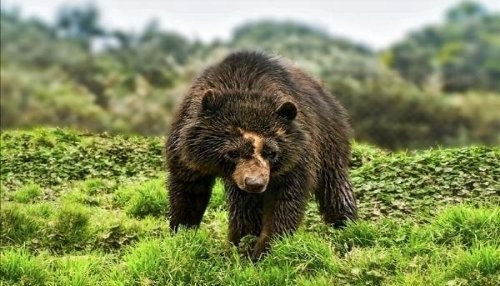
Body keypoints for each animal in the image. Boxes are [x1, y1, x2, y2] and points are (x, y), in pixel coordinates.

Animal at [166, 50, 358, 260]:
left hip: (329, 137)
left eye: (271, 153)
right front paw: (181, 234)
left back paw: (345, 224)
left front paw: (263, 251)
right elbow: (188, 189)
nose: (255, 183)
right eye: (232, 152)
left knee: (333, 182)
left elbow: (283, 201)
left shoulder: (294, 158)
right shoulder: (186, 151)